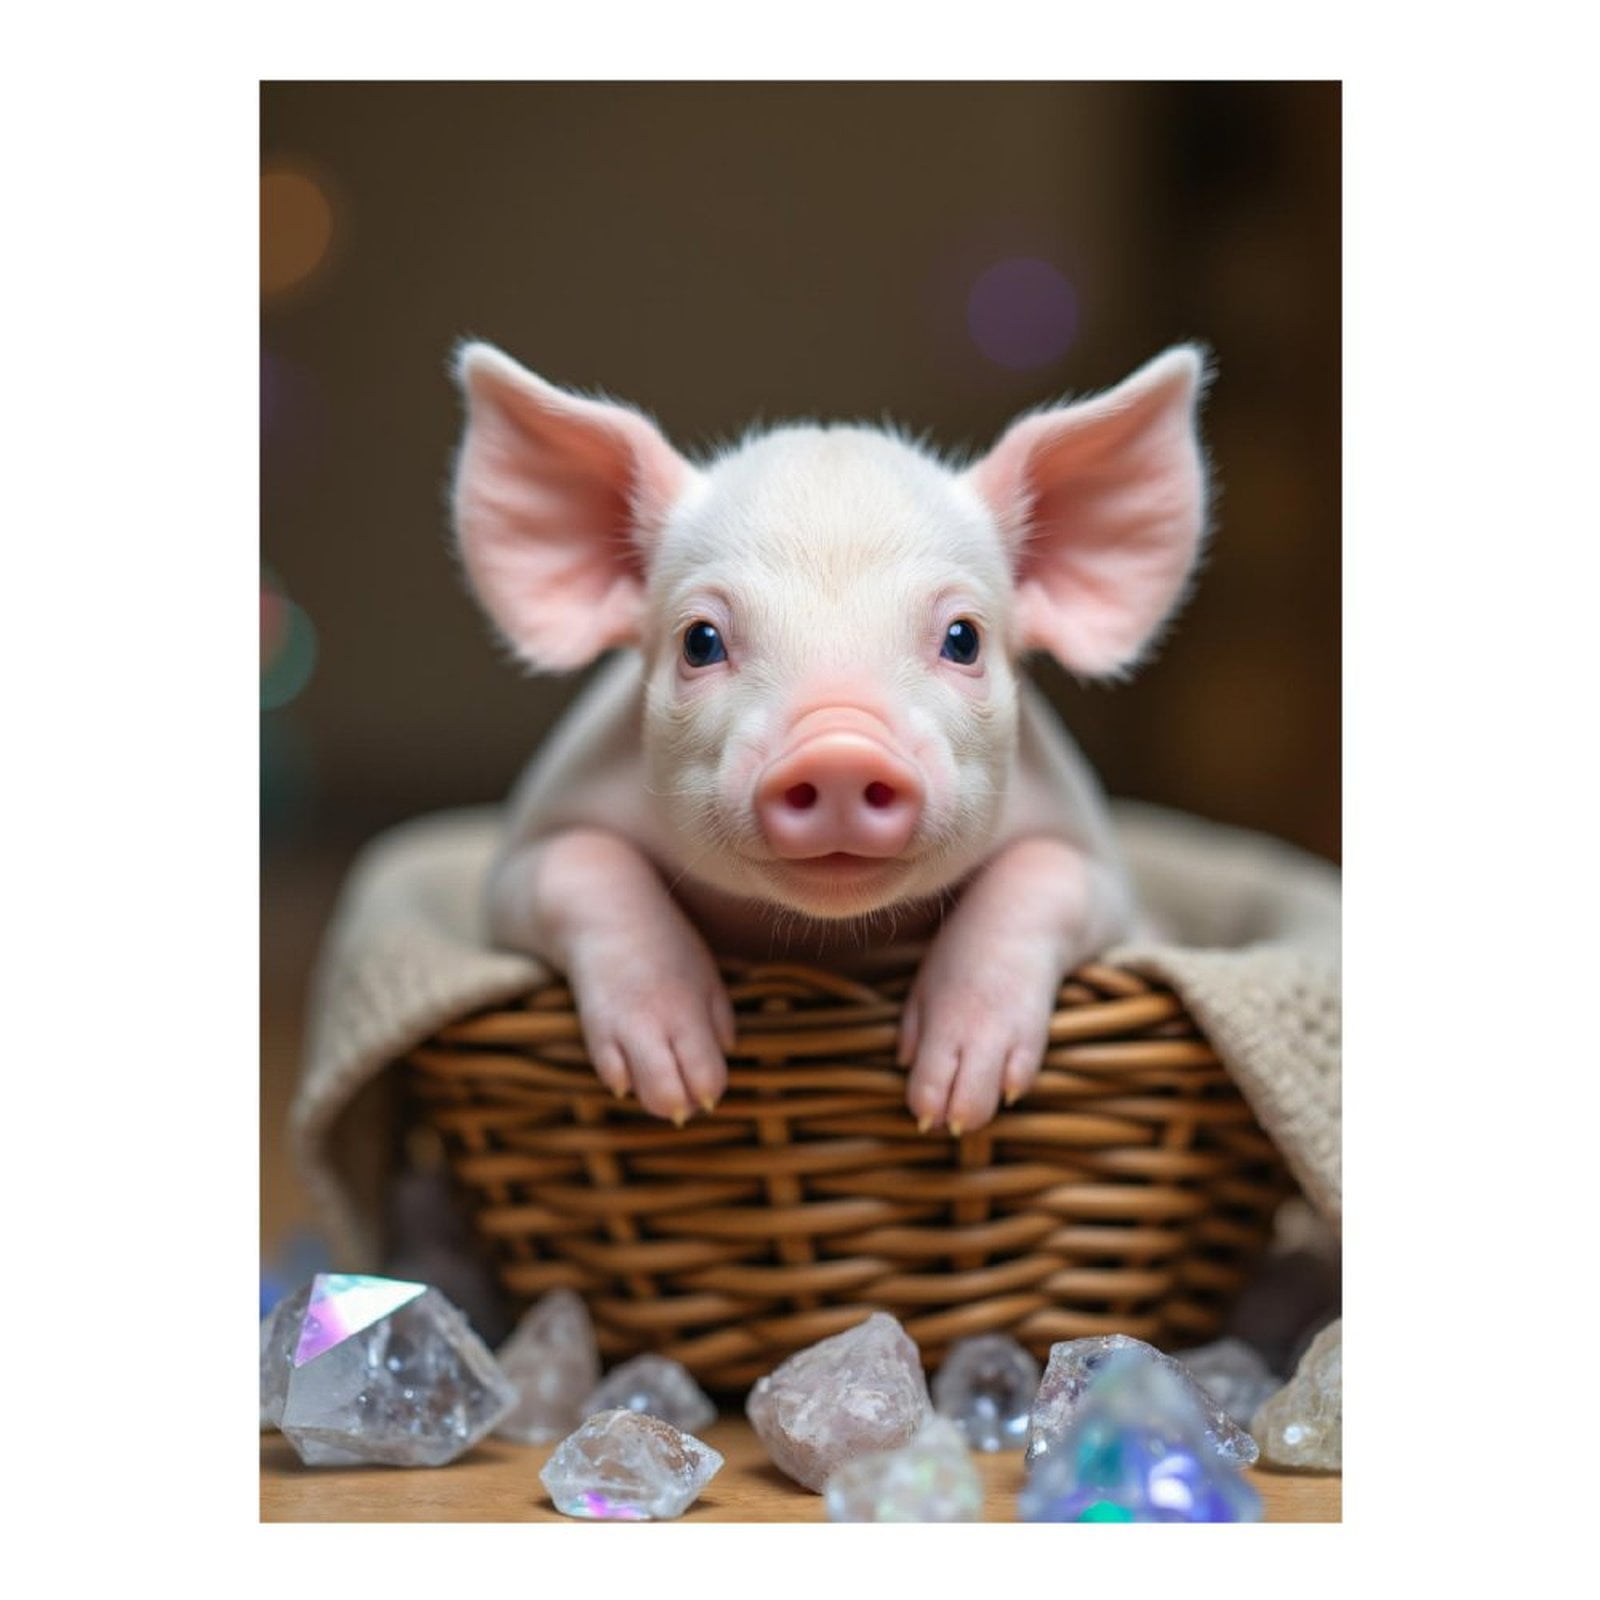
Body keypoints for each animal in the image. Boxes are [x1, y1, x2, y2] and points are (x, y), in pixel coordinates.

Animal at [449, 340, 1209, 1137]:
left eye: (963, 638)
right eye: (700, 641)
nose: (840, 749)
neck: (830, 939)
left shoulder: (1103, 874)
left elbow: (1046, 873)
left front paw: (952, 1106)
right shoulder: (516, 867)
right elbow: (576, 862)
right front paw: (685, 1090)